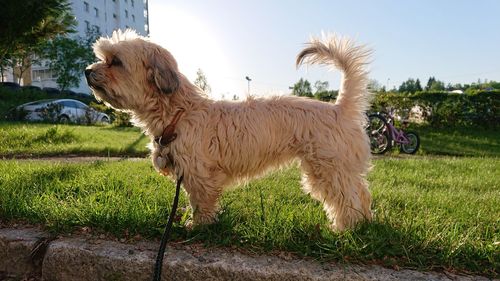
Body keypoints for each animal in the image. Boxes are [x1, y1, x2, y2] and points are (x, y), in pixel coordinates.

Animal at [86, 29, 374, 231]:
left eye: (115, 62)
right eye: (102, 58)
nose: (87, 70)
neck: (180, 112)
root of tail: (339, 108)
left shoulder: (198, 173)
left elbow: (200, 202)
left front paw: (198, 226)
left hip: (327, 169)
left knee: (346, 198)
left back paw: (345, 228)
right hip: (340, 169)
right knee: (361, 192)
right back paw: (364, 223)